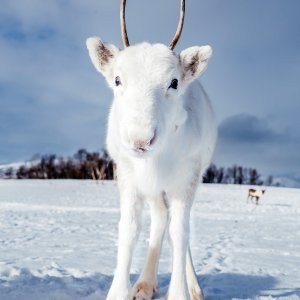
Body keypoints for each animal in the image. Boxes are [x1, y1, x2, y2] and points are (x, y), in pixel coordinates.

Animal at [86, 1, 216, 298]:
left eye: (174, 82)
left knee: (178, 228)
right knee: (159, 219)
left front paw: (181, 292)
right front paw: (120, 291)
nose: (140, 140)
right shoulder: (127, 175)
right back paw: (145, 283)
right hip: (155, 191)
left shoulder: (186, 178)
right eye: (117, 80)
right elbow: (129, 229)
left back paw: (194, 287)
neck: (154, 161)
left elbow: (180, 233)